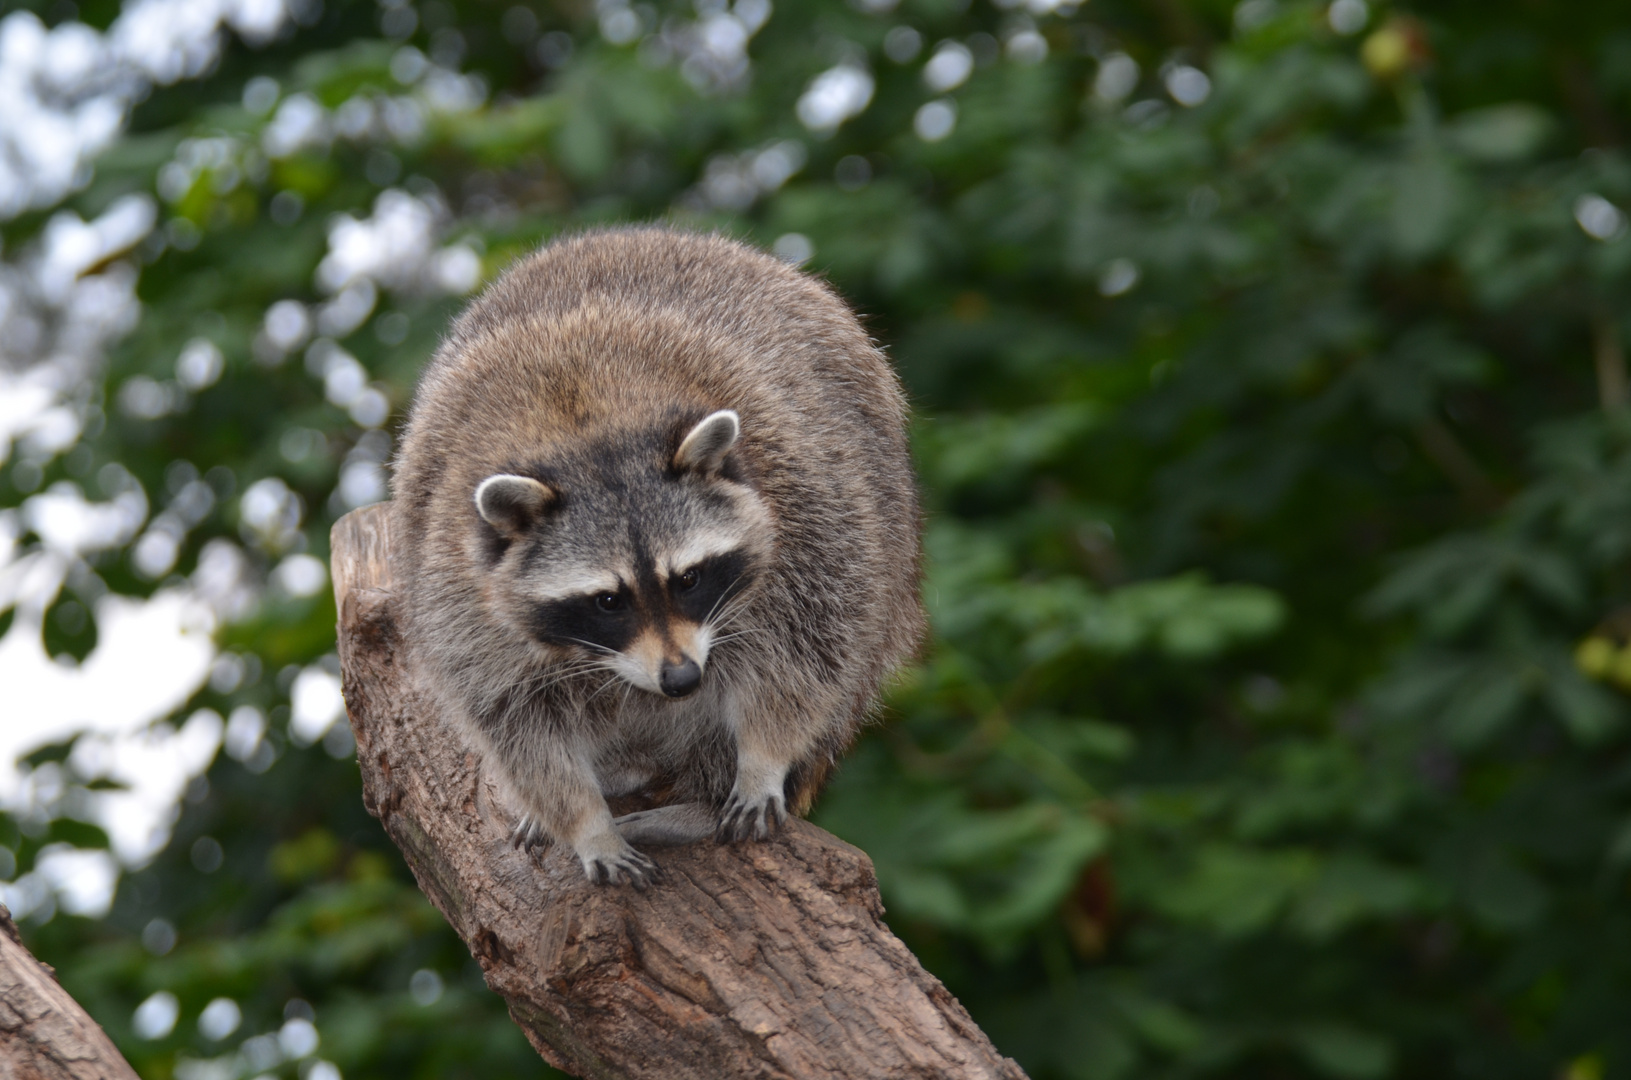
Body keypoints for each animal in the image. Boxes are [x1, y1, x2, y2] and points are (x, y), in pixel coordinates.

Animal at [389, 228, 926, 887]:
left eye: (689, 578)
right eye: (607, 600)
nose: (681, 680)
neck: (581, 424)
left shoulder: (806, 504)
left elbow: (810, 648)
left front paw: (762, 757)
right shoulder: (453, 584)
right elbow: (514, 720)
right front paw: (582, 820)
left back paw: (699, 797)